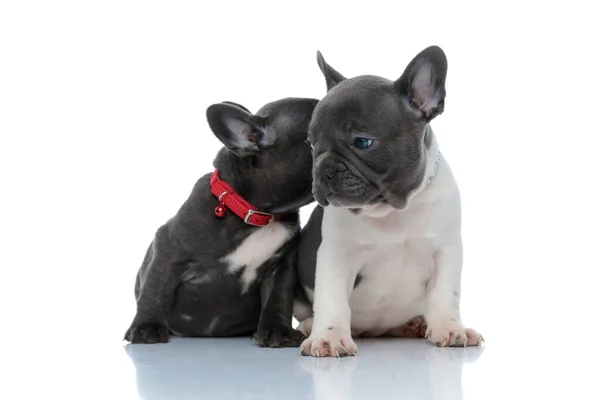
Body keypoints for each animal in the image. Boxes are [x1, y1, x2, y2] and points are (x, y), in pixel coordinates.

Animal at [123, 96, 316, 346]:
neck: (256, 215)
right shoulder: (168, 249)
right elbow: (156, 288)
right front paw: (146, 326)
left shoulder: (282, 266)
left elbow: (278, 297)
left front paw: (277, 330)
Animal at [296, 46, 482, 356]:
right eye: (311, 145)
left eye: (362, 142)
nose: (323, 170)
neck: (392, 210)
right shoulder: (337, 256)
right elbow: (332, 300)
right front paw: (329, 336)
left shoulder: (446, 251)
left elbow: (446, 294)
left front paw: (449, 327)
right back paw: (310, 325)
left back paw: (414, 324)